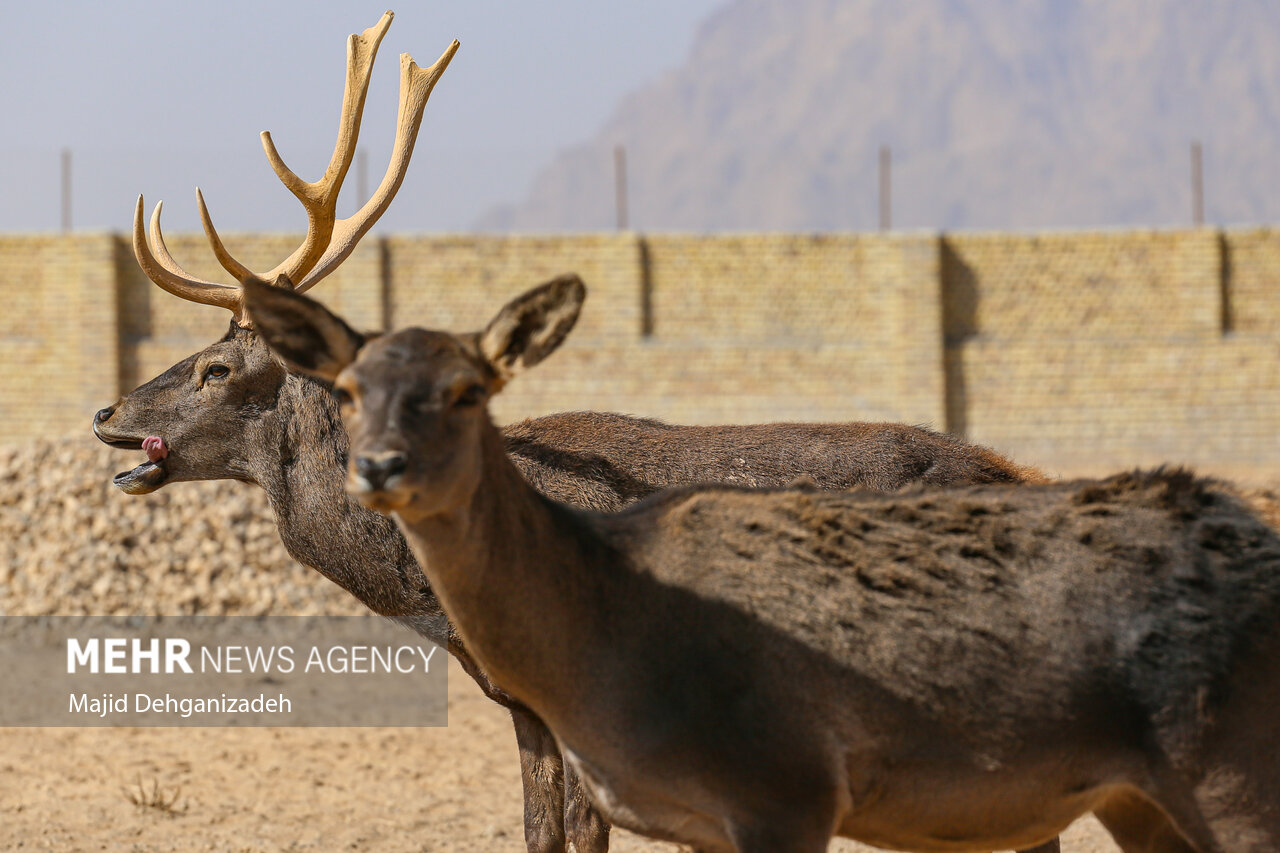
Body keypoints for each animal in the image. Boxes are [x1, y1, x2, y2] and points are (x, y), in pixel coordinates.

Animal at [87, 8, 1059, 850]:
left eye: (217, 369)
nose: (106, 413)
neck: (439, 594)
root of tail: (1023, 478)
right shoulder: (523, 706)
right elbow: (536, 830)